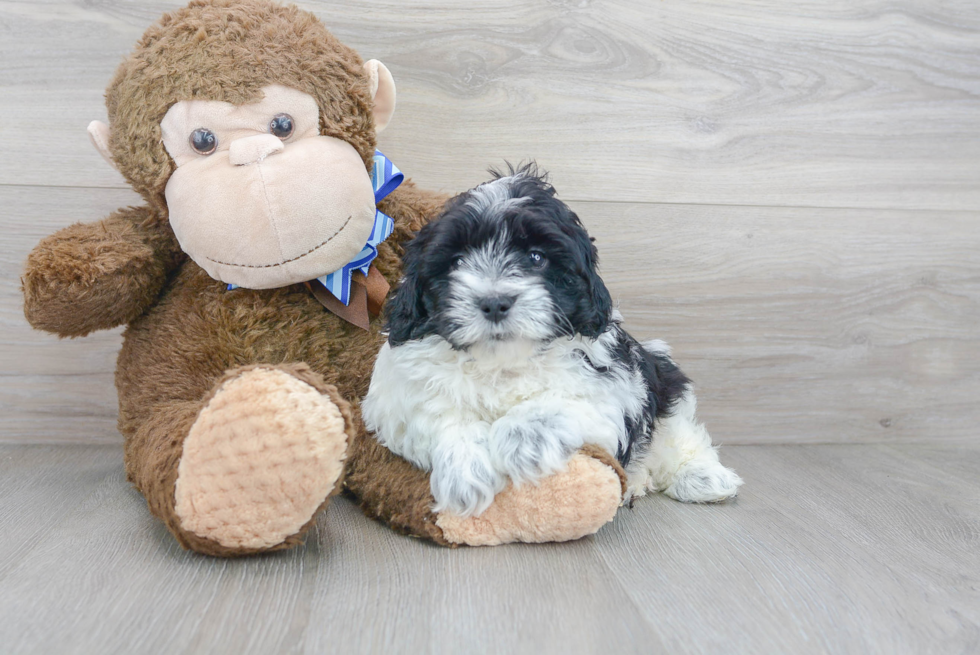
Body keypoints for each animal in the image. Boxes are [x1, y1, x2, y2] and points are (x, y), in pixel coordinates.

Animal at [362, 164, 744, 516]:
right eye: (456, 262)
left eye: (536, 257)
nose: (495, 302)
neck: (502, 362)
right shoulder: (394, 400)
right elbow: (435, 412)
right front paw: (466, 470)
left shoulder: (614, 388)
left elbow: (565, 402)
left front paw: (522, 441)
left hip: (662, 375)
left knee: (678, 435)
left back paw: (702, 477)